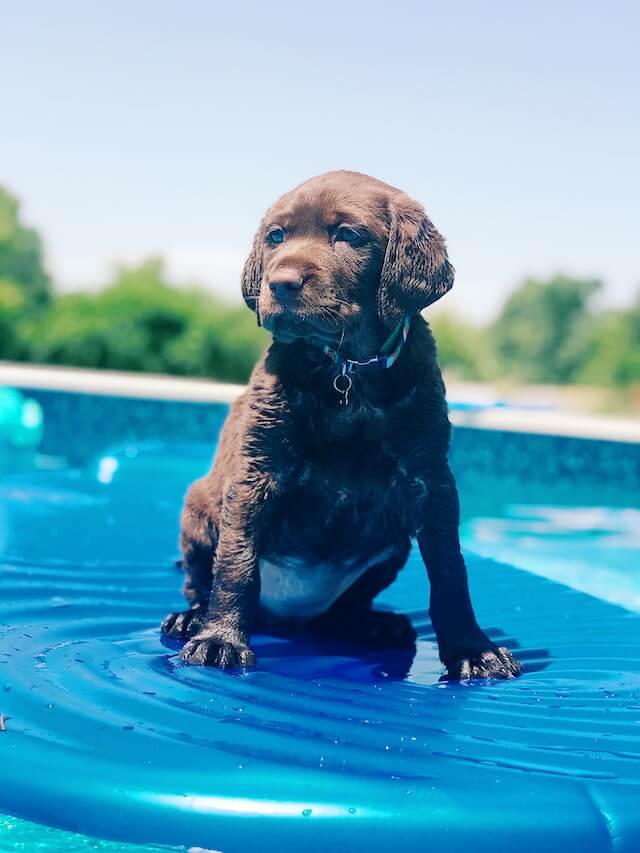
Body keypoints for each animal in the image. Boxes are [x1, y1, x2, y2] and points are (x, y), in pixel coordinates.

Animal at [159, 171, 520, 680]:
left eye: (348, 235)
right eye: (276, 237)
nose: (280, 283)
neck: (349, 369)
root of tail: (290, 617)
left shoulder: (430, 479)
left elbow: (450, 571)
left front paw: (472, 649)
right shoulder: (257, 472)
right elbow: (237, 565)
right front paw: (219, 640)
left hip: (392, 546)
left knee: (342, 612)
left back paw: (375, 624)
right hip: (197, 511)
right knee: (203, 582)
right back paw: (190, 619)